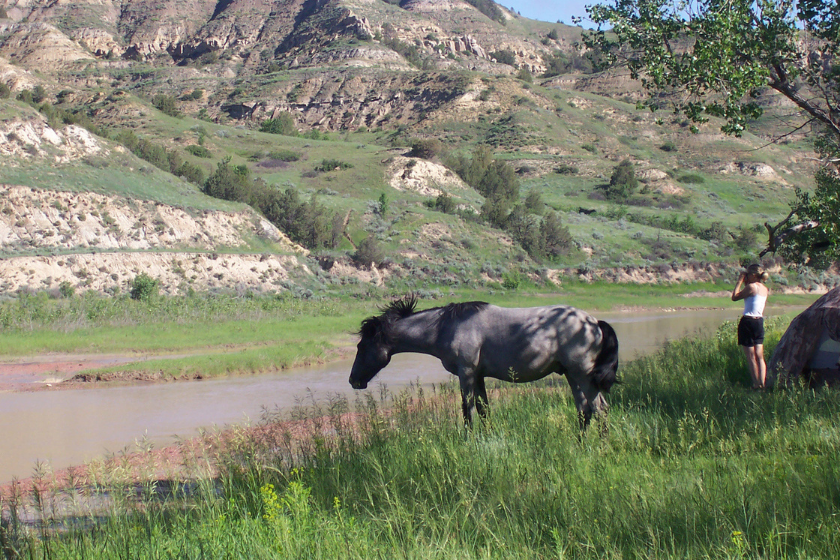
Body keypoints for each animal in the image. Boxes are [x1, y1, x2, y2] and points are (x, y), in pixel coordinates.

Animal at [349, 295, 619, 431]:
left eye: (362, 347)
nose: (353, 380)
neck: (446, 327)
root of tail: (593, 322)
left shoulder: (466, 373)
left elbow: (467, 412)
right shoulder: (478, 376)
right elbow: (484, 411)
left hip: (583, 376)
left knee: (600, 409)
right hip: (572, 376)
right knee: (584, 411)